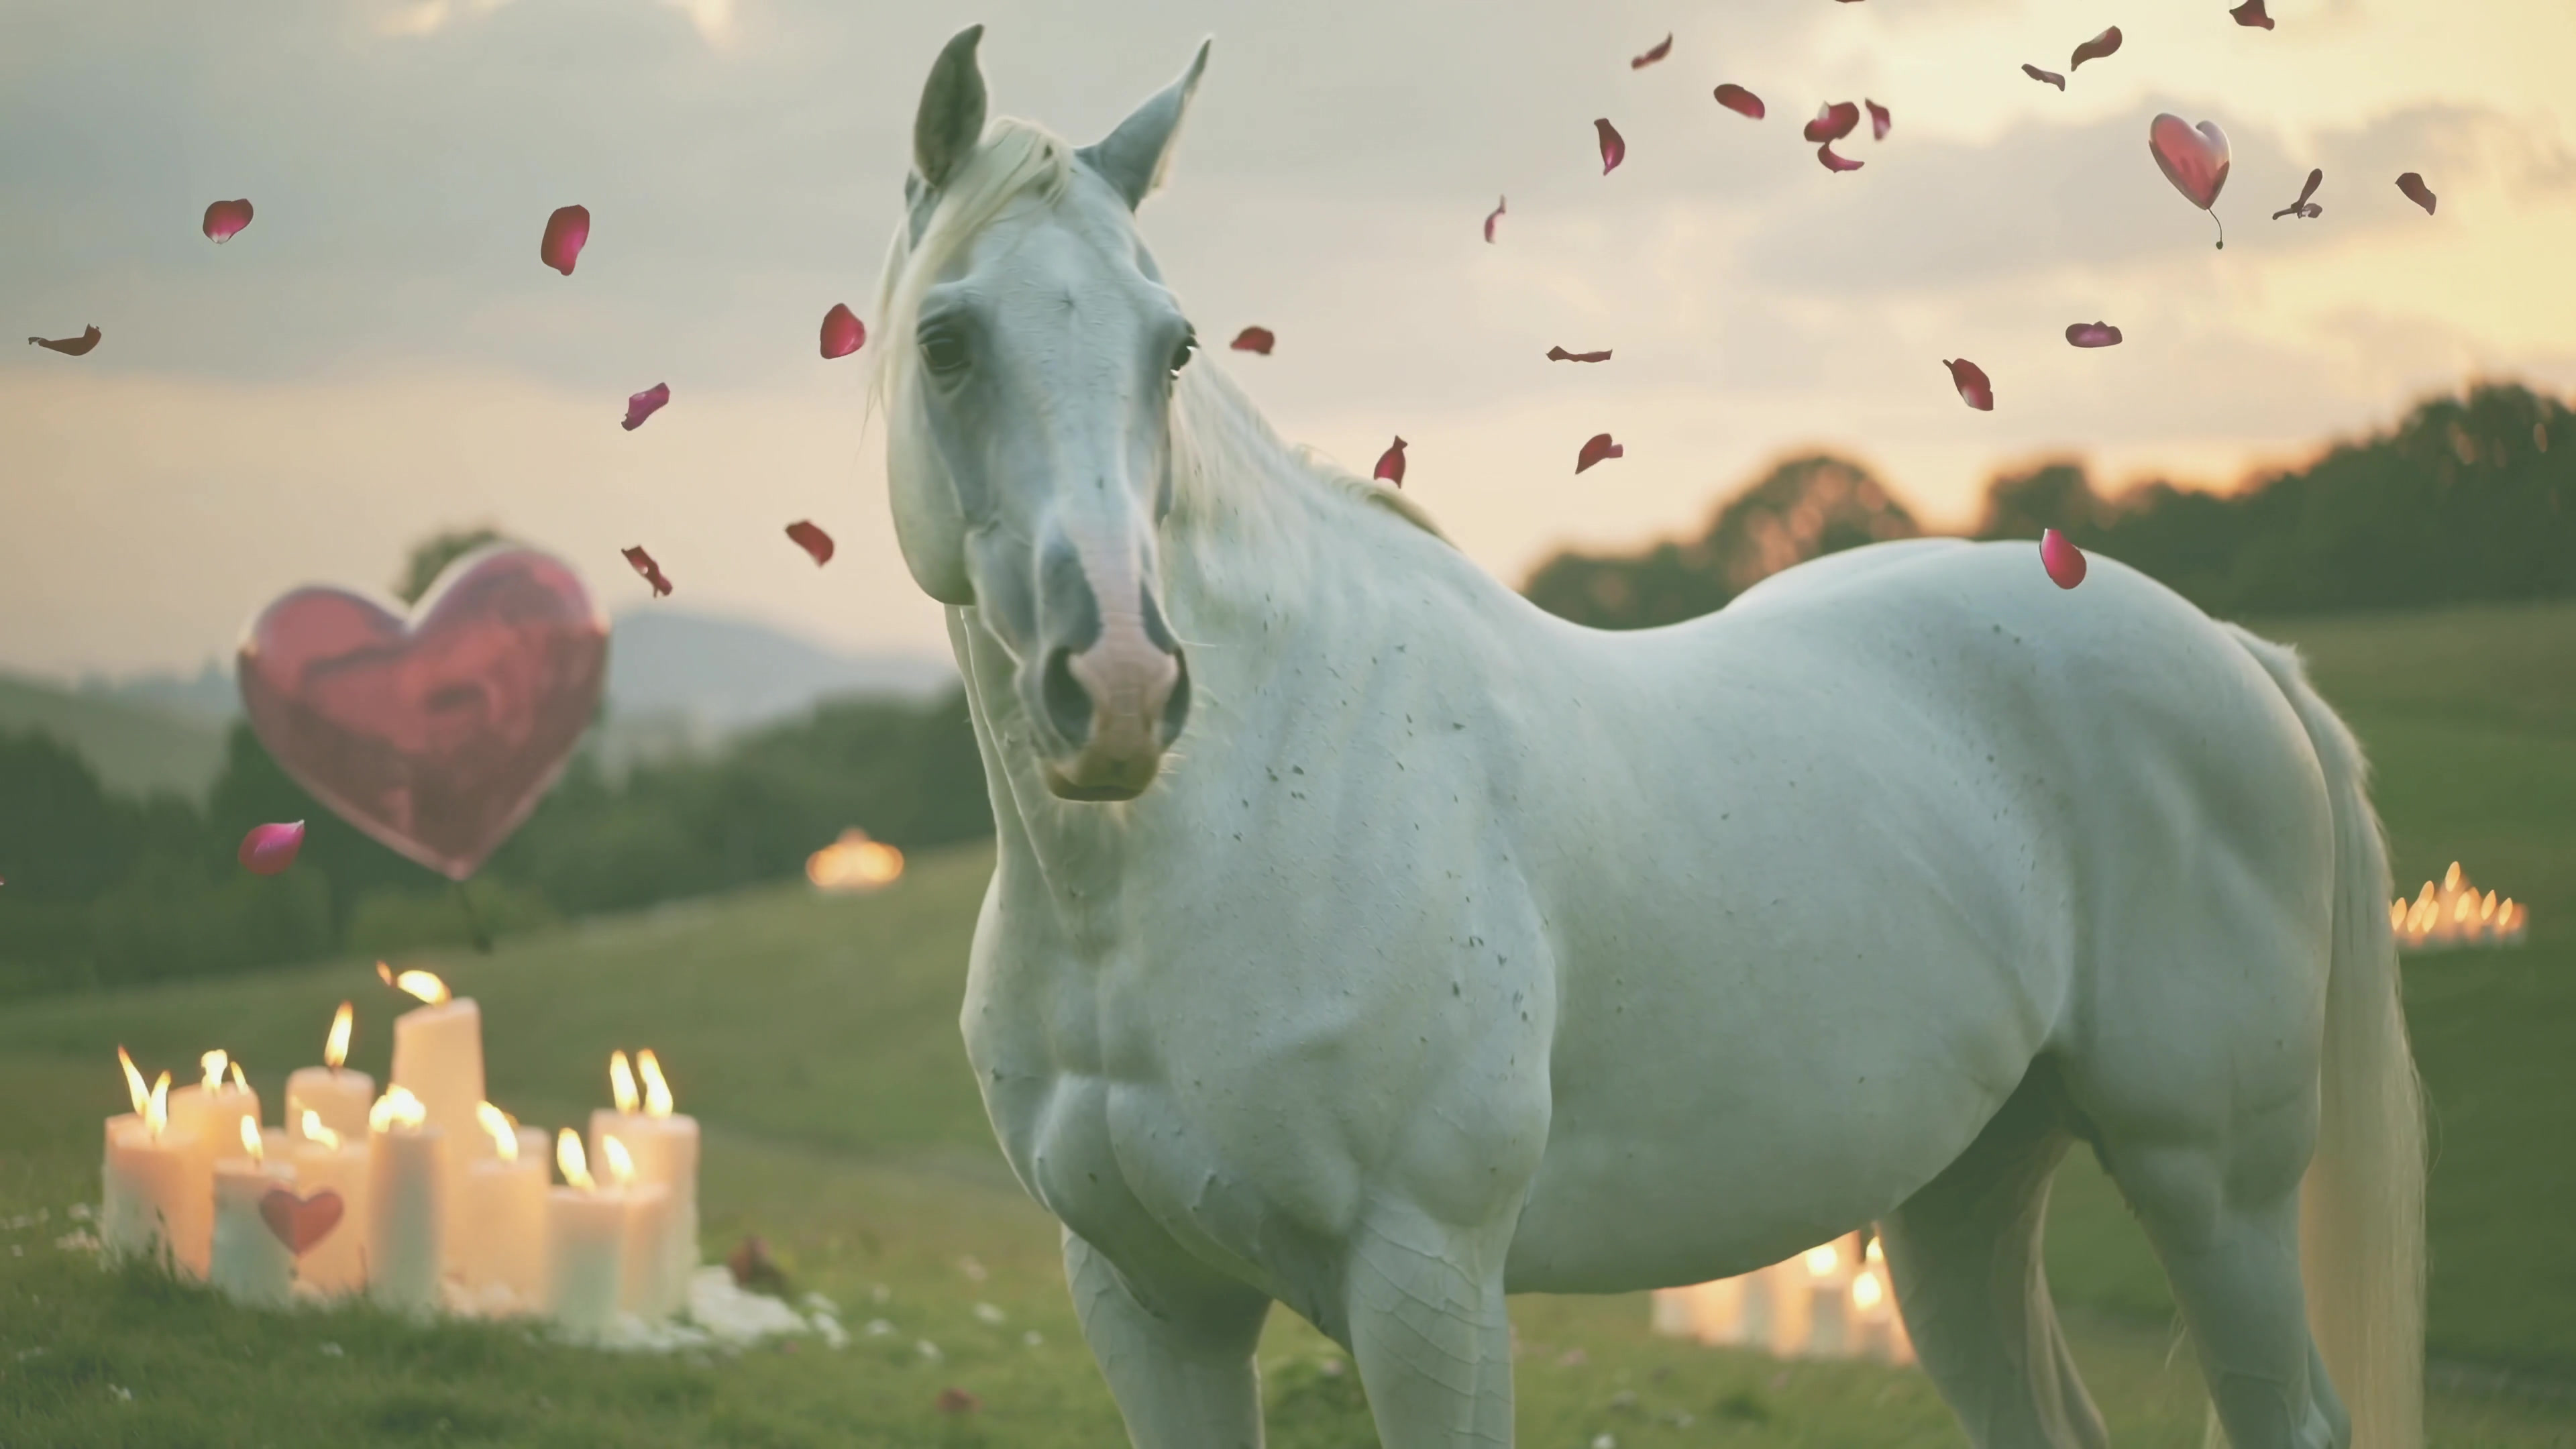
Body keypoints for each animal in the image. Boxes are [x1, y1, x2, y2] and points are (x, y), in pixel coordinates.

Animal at [866, 28, 2426, 1449]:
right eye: (947, 342)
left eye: (1173, 346)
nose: (1123, 682)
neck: (1215, 838)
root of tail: (2234, 653)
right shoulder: (1151, 1301)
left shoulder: (1428, 1286)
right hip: (1962, 1202)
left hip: (2209, 1187)